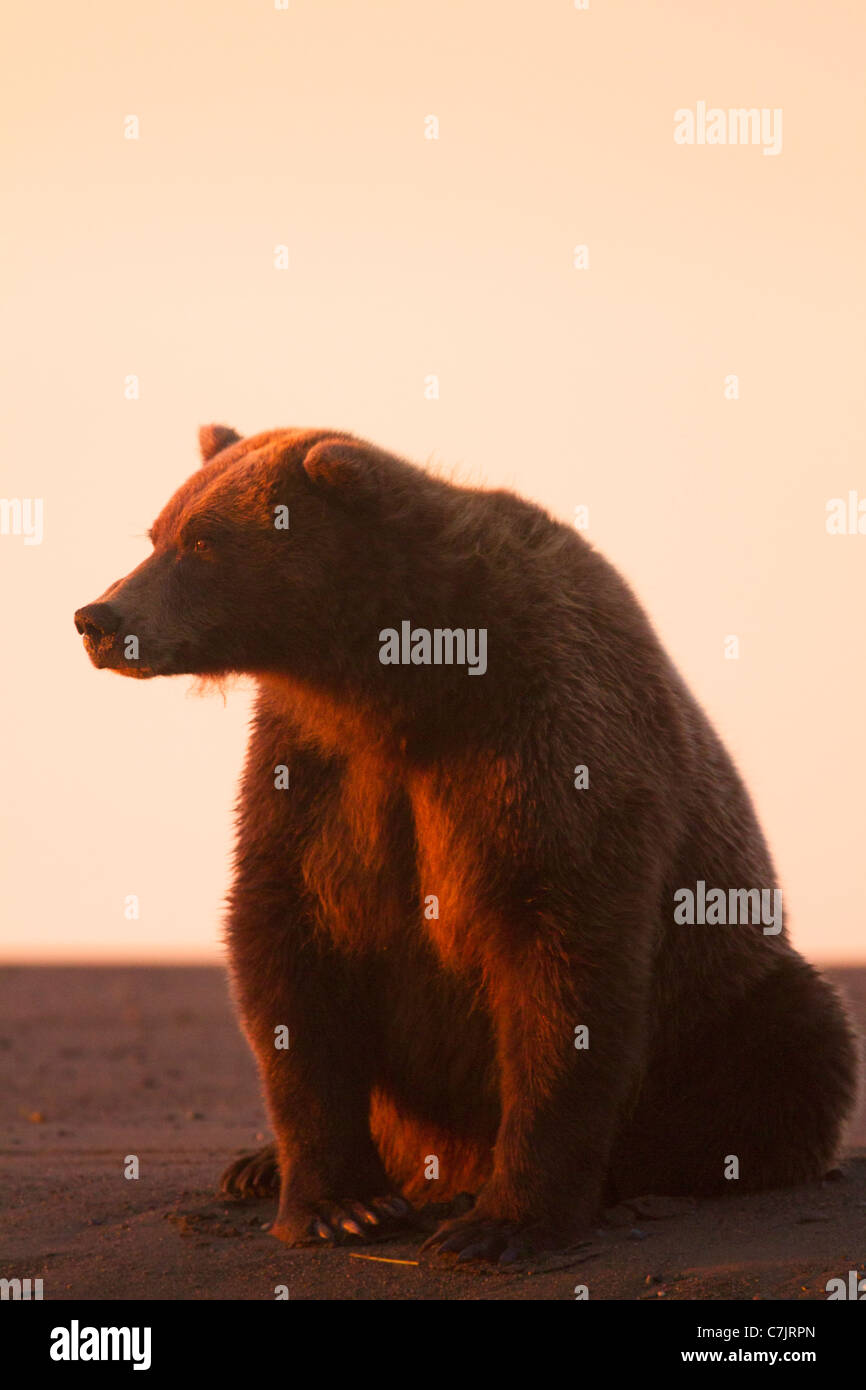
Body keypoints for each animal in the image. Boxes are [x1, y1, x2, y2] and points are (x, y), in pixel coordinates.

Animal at [76, 419, 861, 1262]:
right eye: (157, 531)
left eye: (201, 541)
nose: (98, 619)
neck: (392, 686)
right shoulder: (317, 772)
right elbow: (287, 947)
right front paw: (339, 1204)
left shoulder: (543, 741)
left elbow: (562, 957)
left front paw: (501, 1224)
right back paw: (257, 1165)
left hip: (719, 1002)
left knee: (794, 1040)